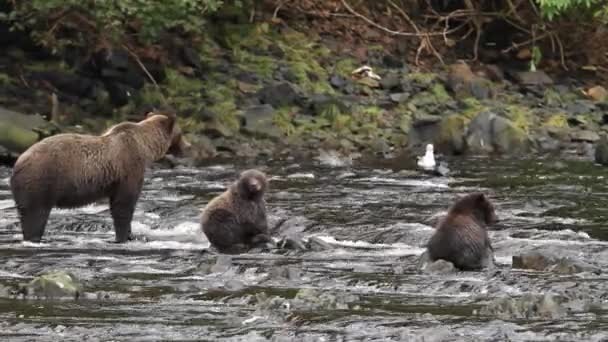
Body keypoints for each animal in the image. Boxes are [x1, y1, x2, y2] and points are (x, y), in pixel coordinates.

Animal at [10, 111, 188, 242]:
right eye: (181, 134)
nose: (188, 146)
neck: (144, 147)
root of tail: (19, 161)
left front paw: (130, 235)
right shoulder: (128, 168)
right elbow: (124, 205)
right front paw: (124, 236)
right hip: (41, 181)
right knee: (36, 215)